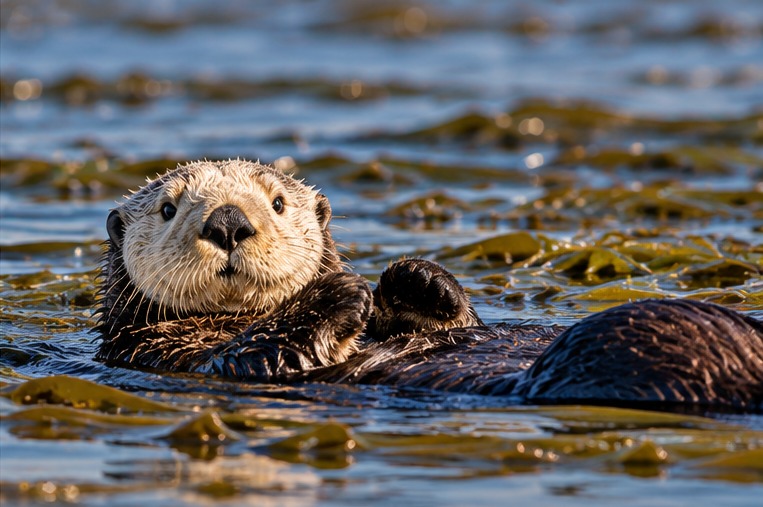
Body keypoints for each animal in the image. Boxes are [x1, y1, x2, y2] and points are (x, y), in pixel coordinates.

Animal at [95, 160, 763, 412]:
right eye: (169, 208)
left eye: (278, 202)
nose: (228, 221)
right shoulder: (170, 354)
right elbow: (257, 354)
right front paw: (340, 294)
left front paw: (417, 280)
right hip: (626, 336)